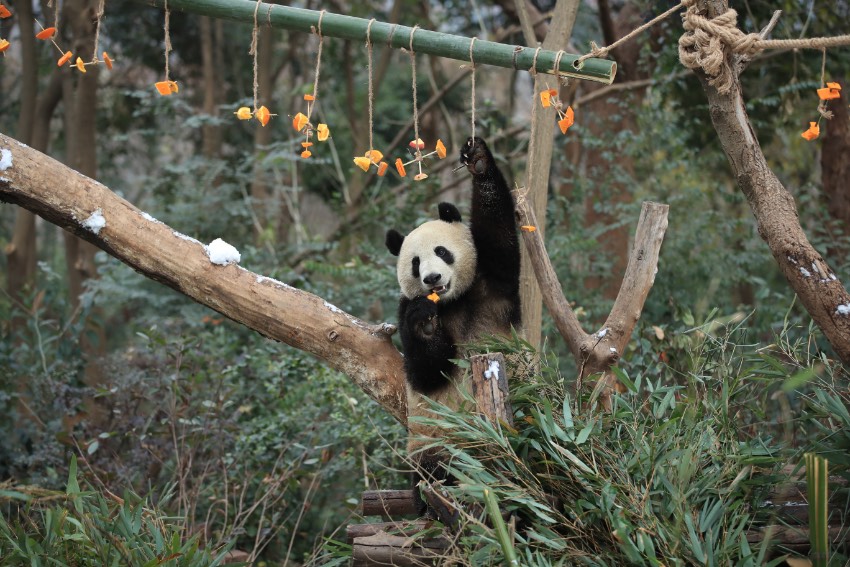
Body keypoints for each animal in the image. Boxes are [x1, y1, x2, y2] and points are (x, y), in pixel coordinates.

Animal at [382, 138, 516, 516]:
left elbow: (498, 236)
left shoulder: (492, 283)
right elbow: (425, 371)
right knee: (436, 467)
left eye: (441, 251)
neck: (453, 301)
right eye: (415, 263)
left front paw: (479, 161)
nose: (432, 279)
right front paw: (426, 323)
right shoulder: (402, 308)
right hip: (434, 439)